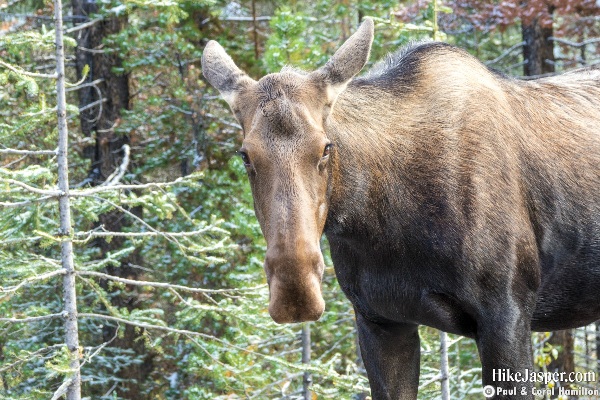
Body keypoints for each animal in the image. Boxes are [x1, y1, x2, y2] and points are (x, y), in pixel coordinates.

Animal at [202, 17, 600, 398]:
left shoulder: (507, 314)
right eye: (245, 155)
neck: (380, 224)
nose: (295, 291)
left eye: (326, 147)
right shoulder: (379, 319)